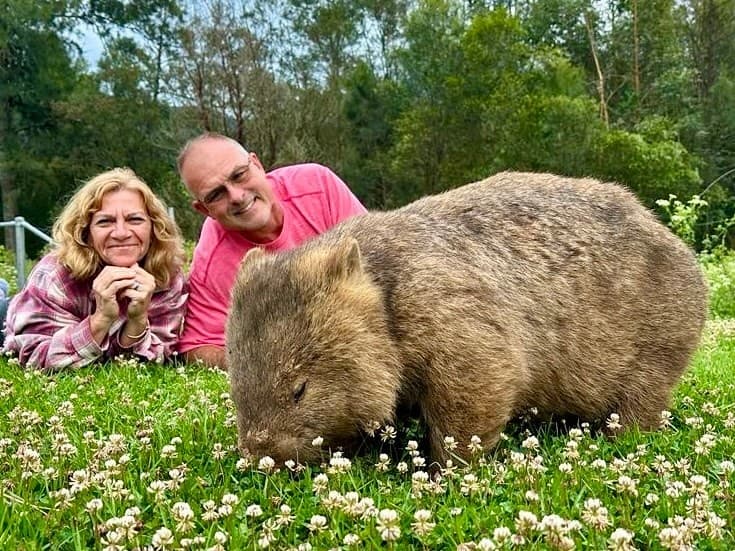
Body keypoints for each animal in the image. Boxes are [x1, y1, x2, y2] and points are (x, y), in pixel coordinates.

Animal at [225, 171, 708, 465]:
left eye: (299, 391)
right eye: (236, 389)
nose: (262, 459)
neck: (382, 290)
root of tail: (667, 232)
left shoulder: (449, 313)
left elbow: (474, 387)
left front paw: (449, 471)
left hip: (662, 321)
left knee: (643, 393)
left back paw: (622, 435)